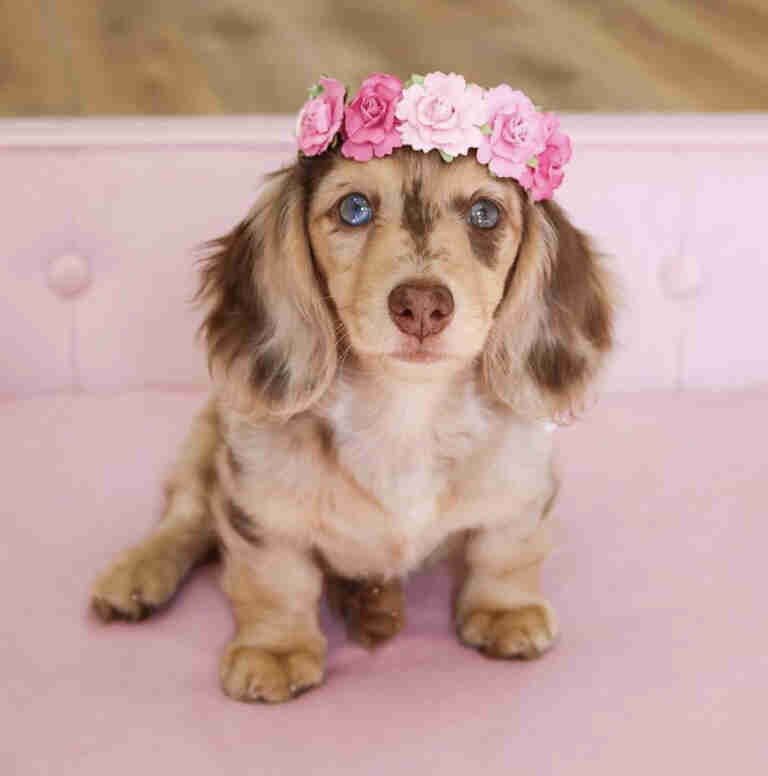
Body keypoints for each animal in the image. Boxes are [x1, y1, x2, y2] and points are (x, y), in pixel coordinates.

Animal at [91, 146, 616, 704]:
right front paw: (275, 649)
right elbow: (275, 581)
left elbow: (505, 552)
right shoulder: (258, 504)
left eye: (485, 213)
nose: (422, 305)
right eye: (354, 209)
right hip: (206, 438)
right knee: (185, 519)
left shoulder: (523, 489)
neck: (405, 413)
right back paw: (137, 574)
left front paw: (506, 612)